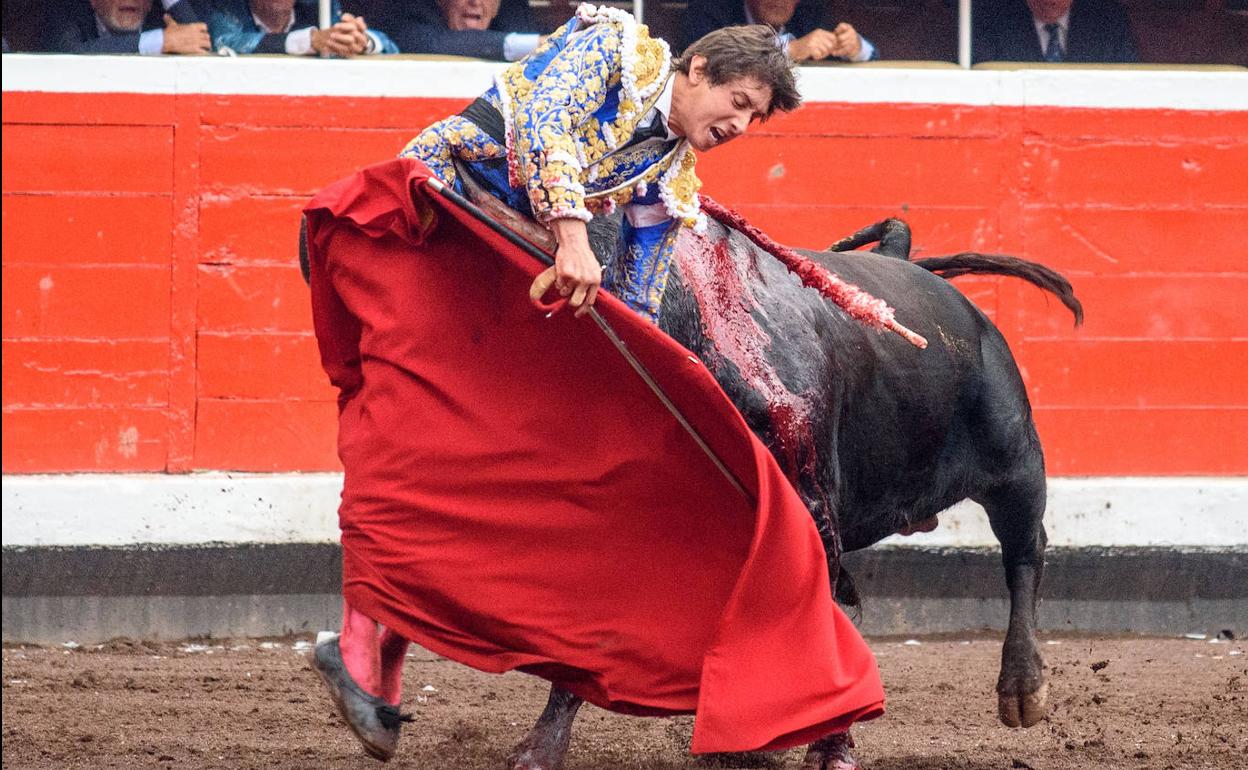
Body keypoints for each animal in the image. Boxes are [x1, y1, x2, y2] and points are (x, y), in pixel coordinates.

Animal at [299, 200, 1083, 763]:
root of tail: (919, 272)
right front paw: (540, 748)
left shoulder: (810, 501)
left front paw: (829, 747)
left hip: (1015, 456)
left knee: (1025, 550)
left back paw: (1022, 689)